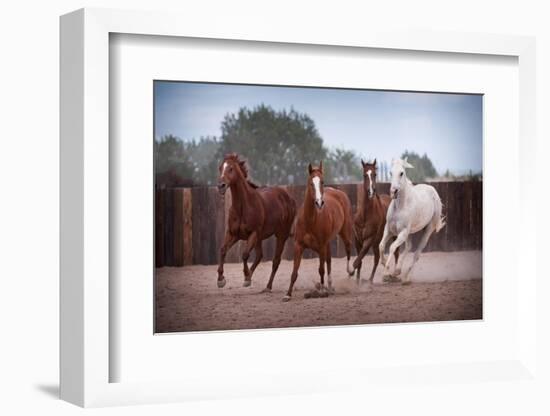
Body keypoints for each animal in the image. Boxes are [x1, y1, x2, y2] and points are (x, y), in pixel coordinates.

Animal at [217, 151, 298, 290]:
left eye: (231, 168)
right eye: (220, 168)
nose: (221, 186)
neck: (243, 206)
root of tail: (289, 198)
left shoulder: (253, 233)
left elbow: (245, 255)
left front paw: (246, 277)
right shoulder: (233, 234)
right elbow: (223, 250)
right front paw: (221, 279)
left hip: (281, 235)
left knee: (276, 261)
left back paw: (267, 286)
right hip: (260, 238)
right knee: (260, 256)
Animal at [282, 161, 356, 300]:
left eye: (322, 181)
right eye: (311, 183)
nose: (319, 202)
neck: (310, 219)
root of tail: (338, 192)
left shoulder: (321, 246)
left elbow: (321, 269)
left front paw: (321, 291)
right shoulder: (298, 245)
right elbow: (294, 271)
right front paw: (288, 294)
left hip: (345, 231)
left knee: (348, 249)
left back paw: (349, 271)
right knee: (329, 261)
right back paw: (330, 286)